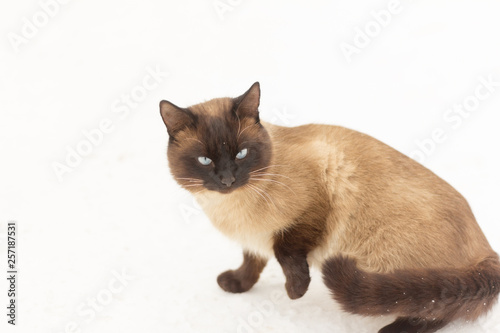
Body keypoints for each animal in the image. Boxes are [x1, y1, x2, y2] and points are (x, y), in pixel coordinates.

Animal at [160, 81, 500, 332]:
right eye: (205, 160)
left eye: (241, 153)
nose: (228, 179)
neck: (230, 208)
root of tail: (488, 251)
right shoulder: (253, 237)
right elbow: (252, 261)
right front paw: (236, 284)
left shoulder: (316, 201)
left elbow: (285, 251)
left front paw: (294, 292)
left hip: (390, 260)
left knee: (433, 304)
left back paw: (393, 329)